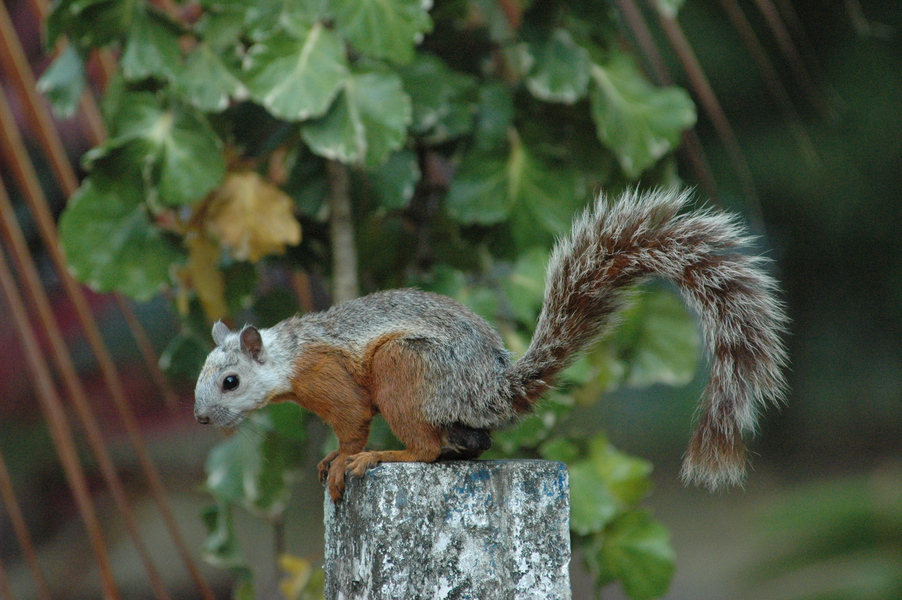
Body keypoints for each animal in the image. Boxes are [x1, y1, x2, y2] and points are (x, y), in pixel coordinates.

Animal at [194, 188, 789, 501]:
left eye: (230, 381)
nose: (200, 418)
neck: (289, 356)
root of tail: (489, 390)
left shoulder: (330, 378)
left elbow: (352, 421)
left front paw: (341, 459)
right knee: (462, 445)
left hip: (404, 366)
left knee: (425, 449)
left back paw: (384, 455)